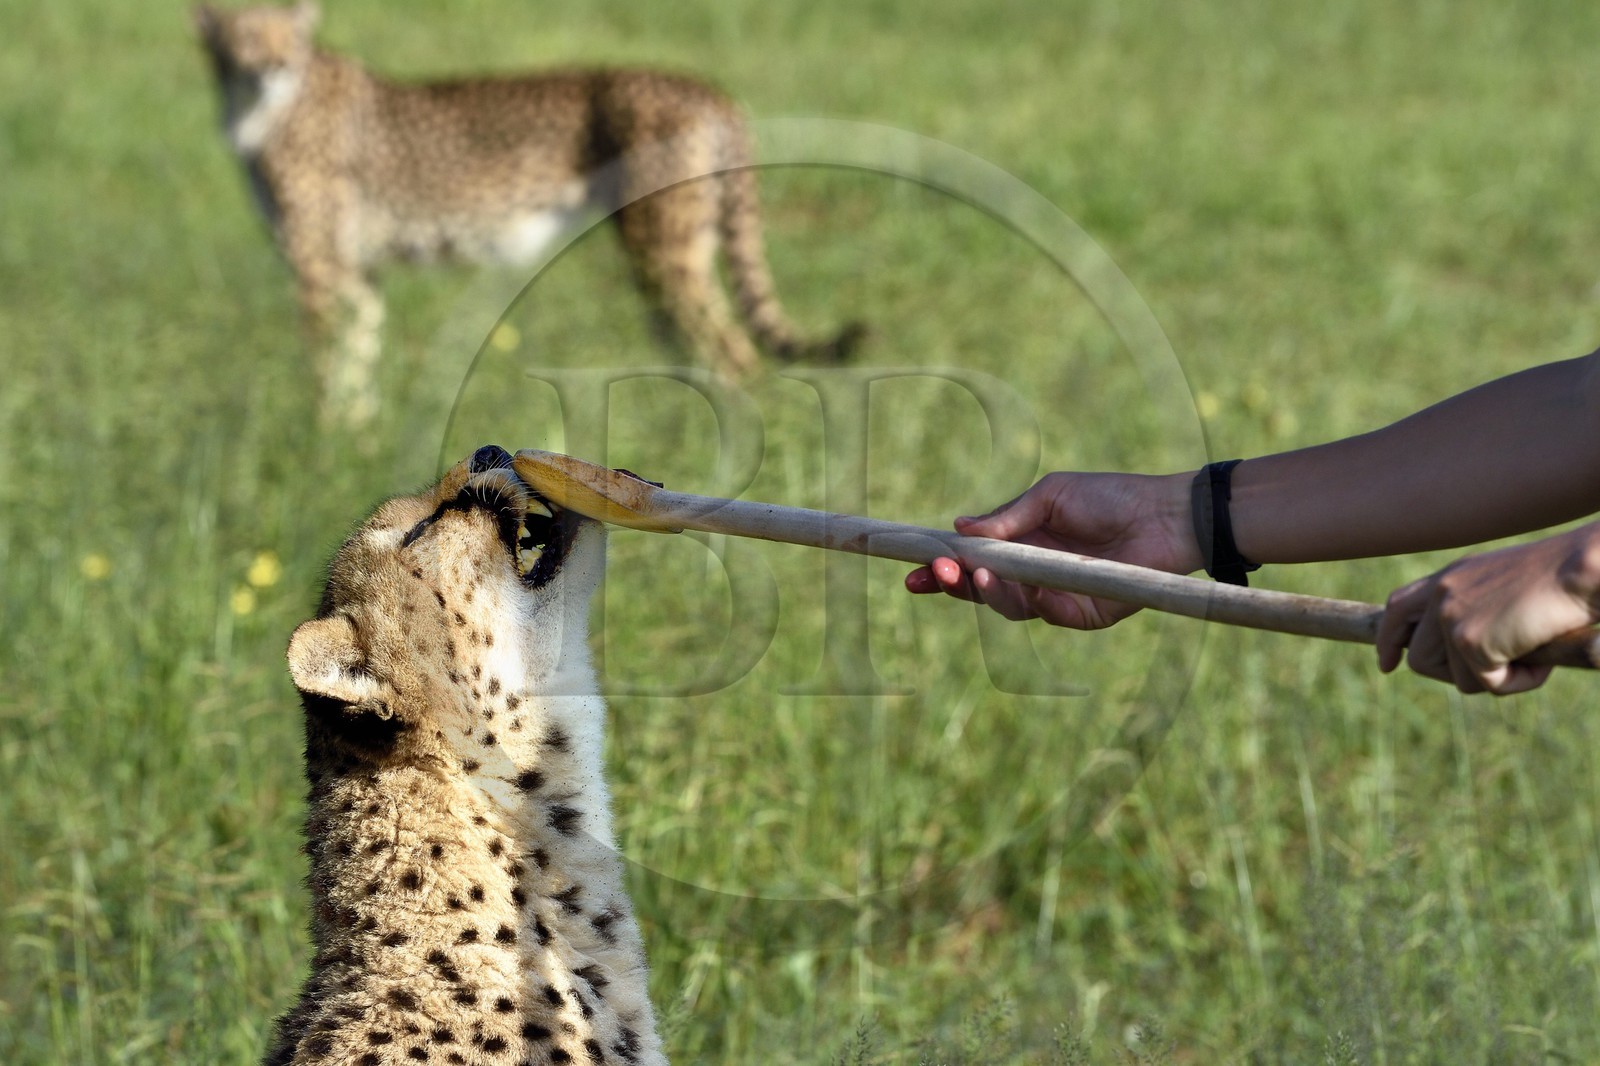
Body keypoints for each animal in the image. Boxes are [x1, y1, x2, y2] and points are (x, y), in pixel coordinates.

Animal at [195, 3, 862, 425]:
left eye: (288, 39)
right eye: (246, 38)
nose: (274, 65)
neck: (257, 108)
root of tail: (703, 85)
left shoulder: (316, 263)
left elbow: (323, 360)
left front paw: (319, 443)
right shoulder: (357, 268)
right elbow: (358, 355)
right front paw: (354, 440)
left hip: (662, 245)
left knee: (733, 353)